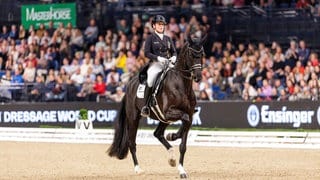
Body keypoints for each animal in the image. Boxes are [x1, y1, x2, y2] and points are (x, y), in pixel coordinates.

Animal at [109, 35, 206, 179]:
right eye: (191, 54)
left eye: (202, 54)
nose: (198, 77)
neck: (182, 85)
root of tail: (130, 84)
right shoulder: (169, 112)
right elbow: (184, 118)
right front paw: (173, 135)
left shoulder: (187, 114)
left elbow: (183, 145)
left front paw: (181, 170)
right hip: (134, 118)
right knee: (132, 142)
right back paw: (138, 169)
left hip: (162, 119)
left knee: (158, 134)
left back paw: (171, 158)